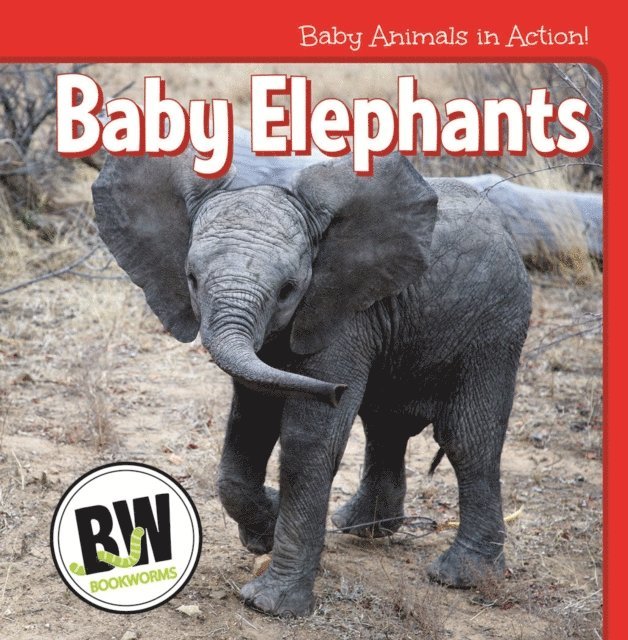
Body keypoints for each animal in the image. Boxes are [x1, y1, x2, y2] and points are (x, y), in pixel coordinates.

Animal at [92, 127, 532, 617]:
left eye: (288, 289)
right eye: (191, 279)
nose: (336, 390)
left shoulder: (344, 313)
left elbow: (308, 438)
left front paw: (270, 605)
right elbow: (250, 420)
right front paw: (264, 532)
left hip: (495, 327)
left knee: (467, 439)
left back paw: (460, 577)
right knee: (385, 424)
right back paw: (361, 529)